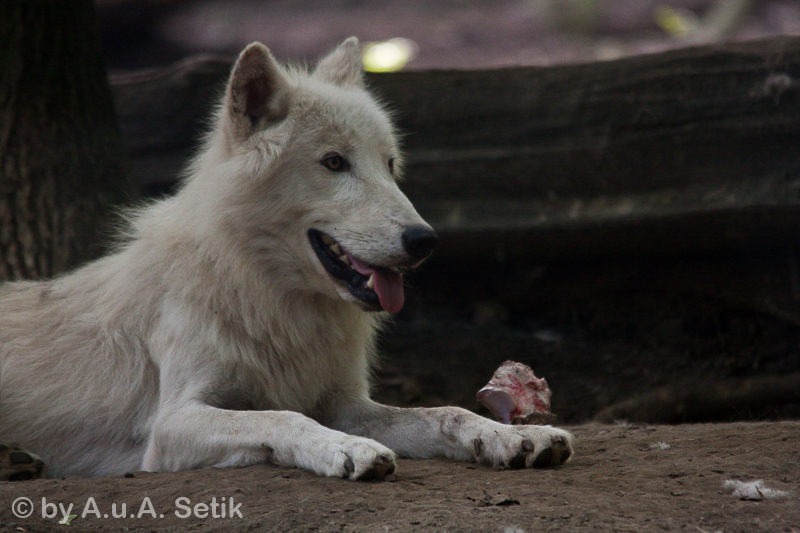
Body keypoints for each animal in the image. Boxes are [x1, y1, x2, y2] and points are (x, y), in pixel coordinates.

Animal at [1, 36, 576, 478]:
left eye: (390, 165)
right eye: (334, 162)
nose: (425, 240)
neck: (272, 299)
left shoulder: (348, 402)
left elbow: (447, 412)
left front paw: (513, 436)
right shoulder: (173, 424)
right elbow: (282, 417)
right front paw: (347, 449)